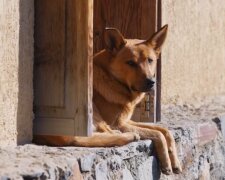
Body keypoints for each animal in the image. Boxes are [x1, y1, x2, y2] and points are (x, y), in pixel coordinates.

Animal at [33, 25, 181, 174]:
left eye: (150, 60)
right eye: (131, 63)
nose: (151, 82)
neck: (112, 78)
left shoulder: (126, 120)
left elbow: (164, 130)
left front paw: (174, 161)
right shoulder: (119, 124)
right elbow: (157, 133)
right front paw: (166, 162)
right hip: (91, 112)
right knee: (85, 138)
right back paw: (129, 136)